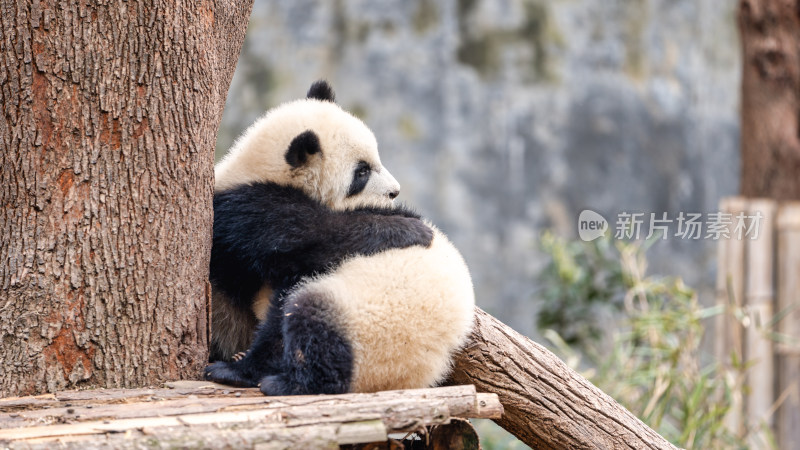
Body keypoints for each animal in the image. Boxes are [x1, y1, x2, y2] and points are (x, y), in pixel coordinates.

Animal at [206, 80, 476, 394]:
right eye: (362, 172)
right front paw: (410, 229)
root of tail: (413, 374)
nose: (394, 192)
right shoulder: (247, 211)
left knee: (305, 317)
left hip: (371, 321)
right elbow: (307, 232)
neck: (255, 170)